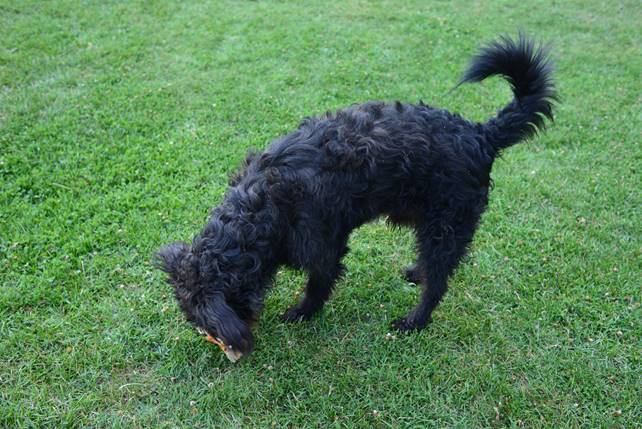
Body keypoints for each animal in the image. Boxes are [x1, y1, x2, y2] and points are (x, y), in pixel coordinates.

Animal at [156, 33, 556, 358]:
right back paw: (417, 272)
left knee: (440, 282)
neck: (257, 210)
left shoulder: (323, 244)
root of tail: (481, 134)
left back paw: (414, 320)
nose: (219, 340)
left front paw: (302, 313)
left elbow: (318, 283)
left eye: (202, 319)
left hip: (446, 223)